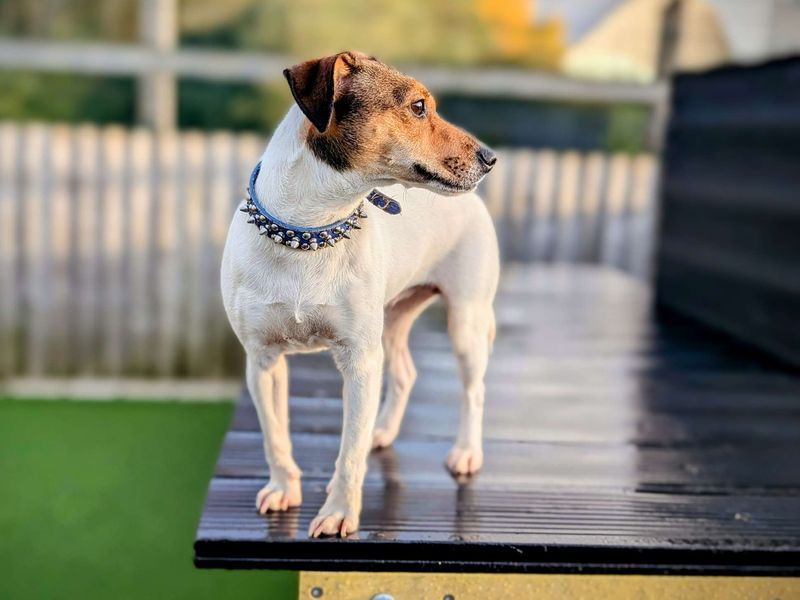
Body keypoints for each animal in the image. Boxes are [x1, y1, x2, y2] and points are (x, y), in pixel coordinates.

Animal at [222, 52, 496, 540]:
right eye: (419, 107)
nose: (490, 157)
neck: (310, 231)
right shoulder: (262, 361)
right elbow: (275, 436)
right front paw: (283, 487)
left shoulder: (360, 362)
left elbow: (349, 456)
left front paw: (338, 513)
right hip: (393, 318)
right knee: (405, 373)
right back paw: (380, 431)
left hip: (466, 321)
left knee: (473, 390)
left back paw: (466, 451)